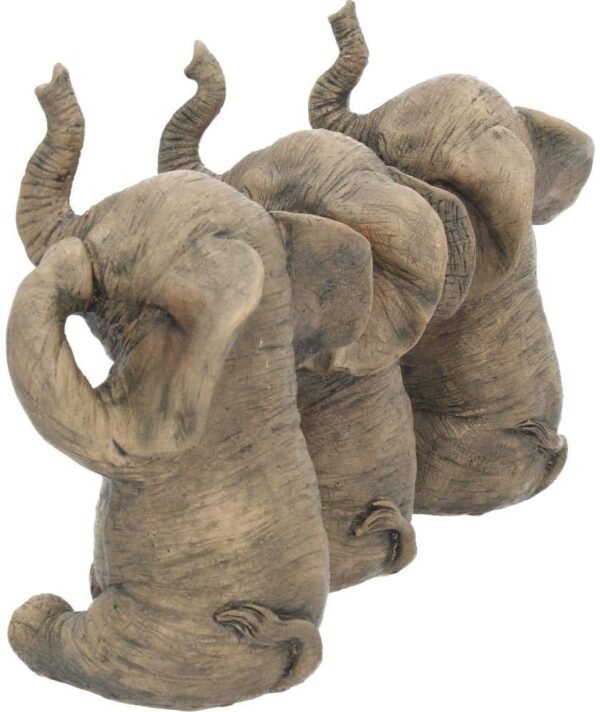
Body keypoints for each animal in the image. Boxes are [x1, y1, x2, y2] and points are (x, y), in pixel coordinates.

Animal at [7, 65, 377, 710]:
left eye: (110, 238)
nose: (53, 77)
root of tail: (284, 655)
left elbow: (90, 433)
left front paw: (71, 261)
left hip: (159, 641)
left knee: (47, 627)